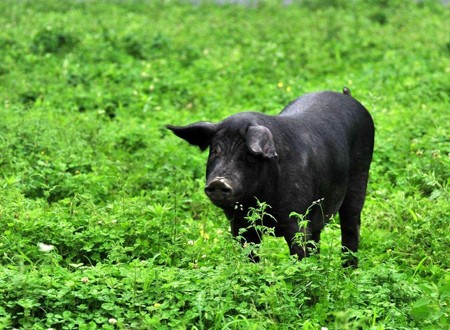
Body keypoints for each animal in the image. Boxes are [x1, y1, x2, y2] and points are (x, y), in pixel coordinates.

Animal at [167, 88, 374, 266]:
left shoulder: (297, 219)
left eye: (249, 154)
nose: (219, 181)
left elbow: (299, 255)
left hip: (360, 174)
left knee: (351, 226)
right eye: (215, 150)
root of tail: (347, 96)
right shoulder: (240, 224)